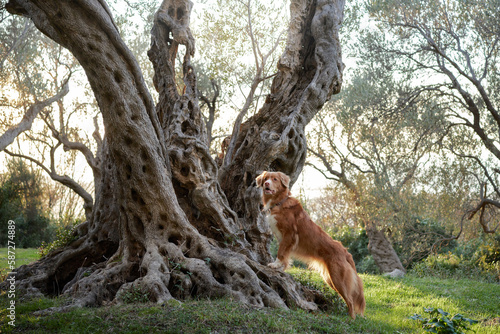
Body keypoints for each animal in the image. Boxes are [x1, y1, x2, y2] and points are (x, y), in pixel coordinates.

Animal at [256, 171, 366, 320]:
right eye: (266, 178)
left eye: (275, 179)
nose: (267, 184)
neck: (279, 202)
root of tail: (345, 251)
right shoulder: (284, 238)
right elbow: (285, 254)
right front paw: (281, 267)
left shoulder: (289, 235)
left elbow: (281, 252)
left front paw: (276, 265)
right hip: (329, 278)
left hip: (338, 278)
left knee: (350, 300)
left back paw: (351, 319)